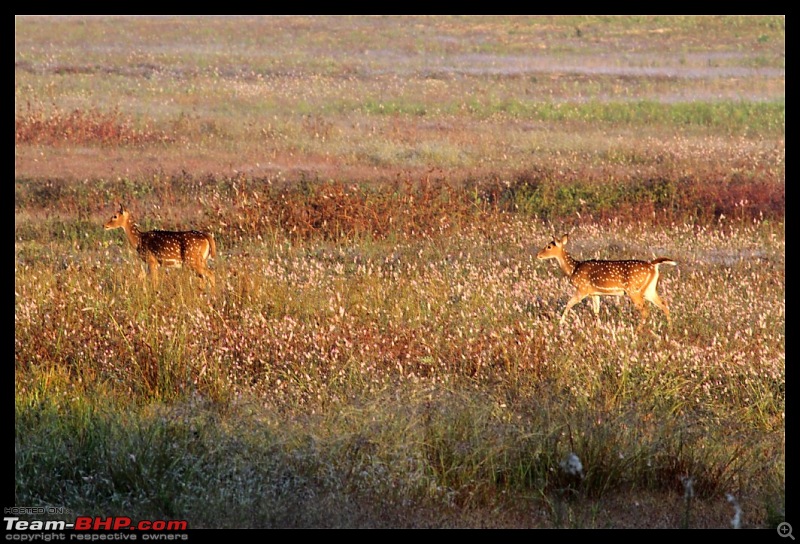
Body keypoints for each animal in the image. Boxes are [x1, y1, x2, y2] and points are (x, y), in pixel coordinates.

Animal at [536, 235, 676, 332]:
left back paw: (637, 331)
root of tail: (653, 265)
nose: (538, 255)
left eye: (549, 246)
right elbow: (596, 311)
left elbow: (569, 304)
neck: (573, 269)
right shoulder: (594, 293)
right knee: (664, 304)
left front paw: (560, 324)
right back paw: (670, 328)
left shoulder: (582, 289)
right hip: (649, 290)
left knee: (646, 310)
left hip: (634, 290)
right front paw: (597, 328)